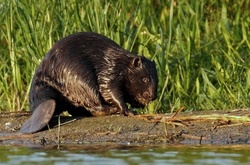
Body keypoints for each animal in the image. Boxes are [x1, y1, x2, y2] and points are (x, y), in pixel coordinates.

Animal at [21, 31, 158, 133]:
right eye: (145, 79)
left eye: (157, 79)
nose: (152, 96)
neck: (121, 62)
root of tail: (43, 101)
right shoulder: (110, 71)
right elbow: (110, 90)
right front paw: (128, 111)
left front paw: (138, 104)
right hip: (81, 79)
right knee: (95, 105)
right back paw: (113, 109)